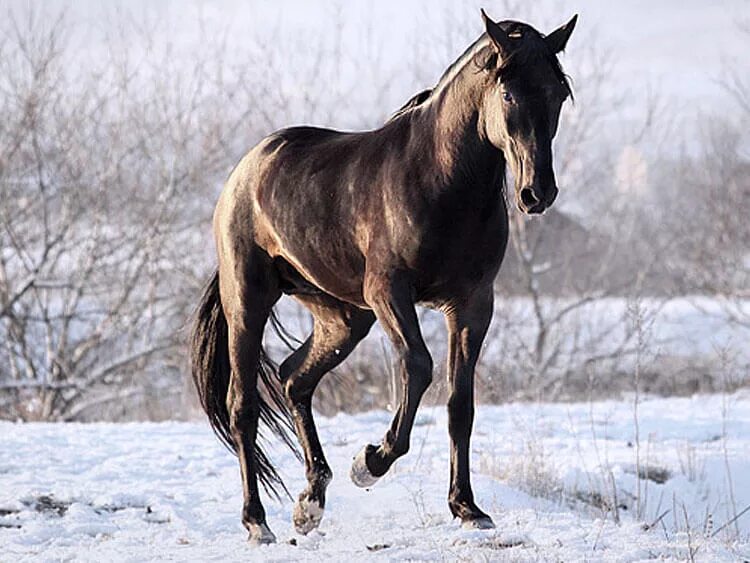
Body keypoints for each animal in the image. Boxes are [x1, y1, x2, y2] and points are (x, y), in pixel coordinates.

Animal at [191, 9, 580, 548]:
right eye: (508, 94)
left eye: (558, 93)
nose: (537, 193)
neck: (441, 181)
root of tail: (247, 169)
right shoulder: (390, 294)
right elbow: (418, 367)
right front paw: (370, 461)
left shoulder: (473, 304)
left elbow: (460, 403)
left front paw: (468, 508)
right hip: (250, 302)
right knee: (243, 406)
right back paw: (258, 521)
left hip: (343, 317)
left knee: (294, 379)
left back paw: (310, 503)